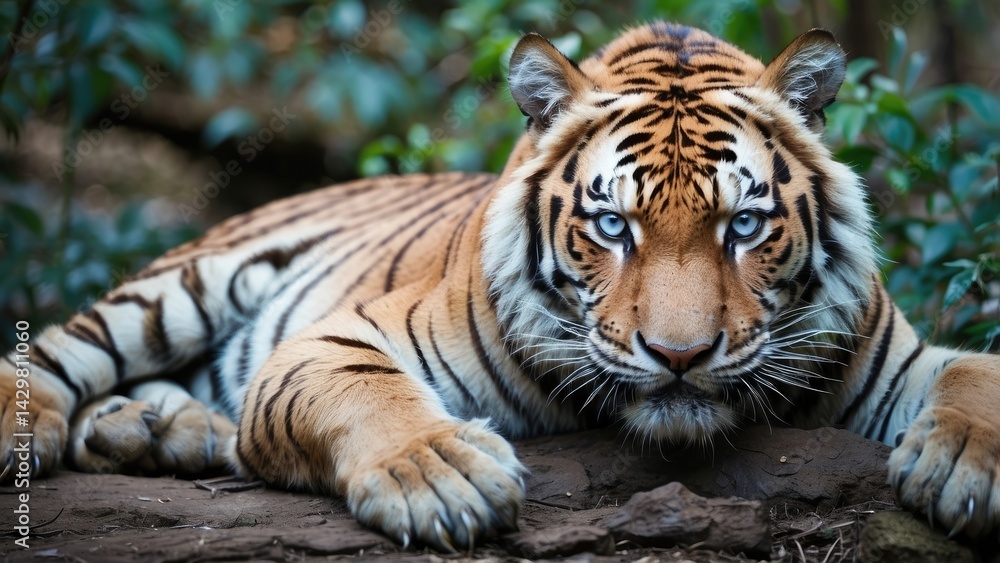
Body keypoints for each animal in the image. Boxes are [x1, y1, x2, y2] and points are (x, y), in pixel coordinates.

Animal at [2, 22, 998, 550]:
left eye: (743, 226)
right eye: (613, 226)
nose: (679, 356)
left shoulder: (891, 354)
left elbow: (976, 372)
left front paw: (965, 467)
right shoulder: (331, 336)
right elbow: (368, 389)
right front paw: (441, 475)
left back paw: (165, 429)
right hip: (177, 287)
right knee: (58, 353)